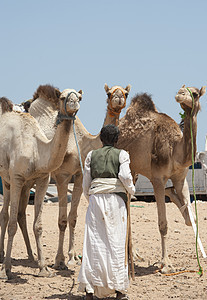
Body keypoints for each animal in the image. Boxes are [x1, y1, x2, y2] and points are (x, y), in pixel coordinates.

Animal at [0, 88, 82, 280]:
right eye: (62, 97)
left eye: (80, 97)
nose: (74, 103)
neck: (37, 150)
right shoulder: (16, 178)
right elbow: (12, 225)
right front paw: (7, 270)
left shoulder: (43, 179)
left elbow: (38, 226)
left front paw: (44, 268)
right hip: (6, 180)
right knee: (5, 215)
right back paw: (2, 258)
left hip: (20, 184)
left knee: (18, 214)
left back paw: (31, 256)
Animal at [116, 85, 205, 274]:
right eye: (183, 90)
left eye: (194, 93)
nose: (180, 94)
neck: (175, 150)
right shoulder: (157, 178)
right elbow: (163, 224)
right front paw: (166, 264)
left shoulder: (181, 178)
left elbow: (190, 218)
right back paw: (131, 256)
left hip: (134, 171)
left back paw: (133, 255)